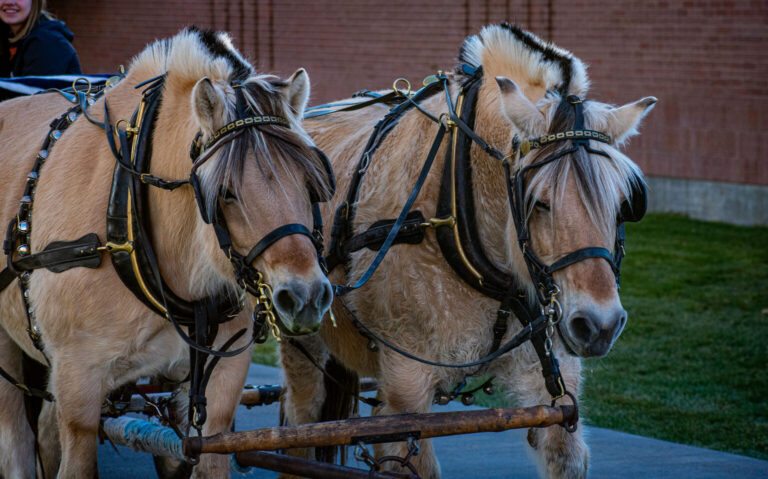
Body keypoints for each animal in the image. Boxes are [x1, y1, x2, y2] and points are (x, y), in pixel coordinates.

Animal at [0, 27, 333, 478]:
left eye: (311, 182)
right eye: (225, 193)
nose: (306, 297)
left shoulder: (221, 387)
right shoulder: (77, 382)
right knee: (17, 436)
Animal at [280, 23, 656, 478]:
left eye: (624, 204)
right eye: (539, 203)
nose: (600, 325)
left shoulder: (553, 378)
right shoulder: (406, 384)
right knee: (300, 422)